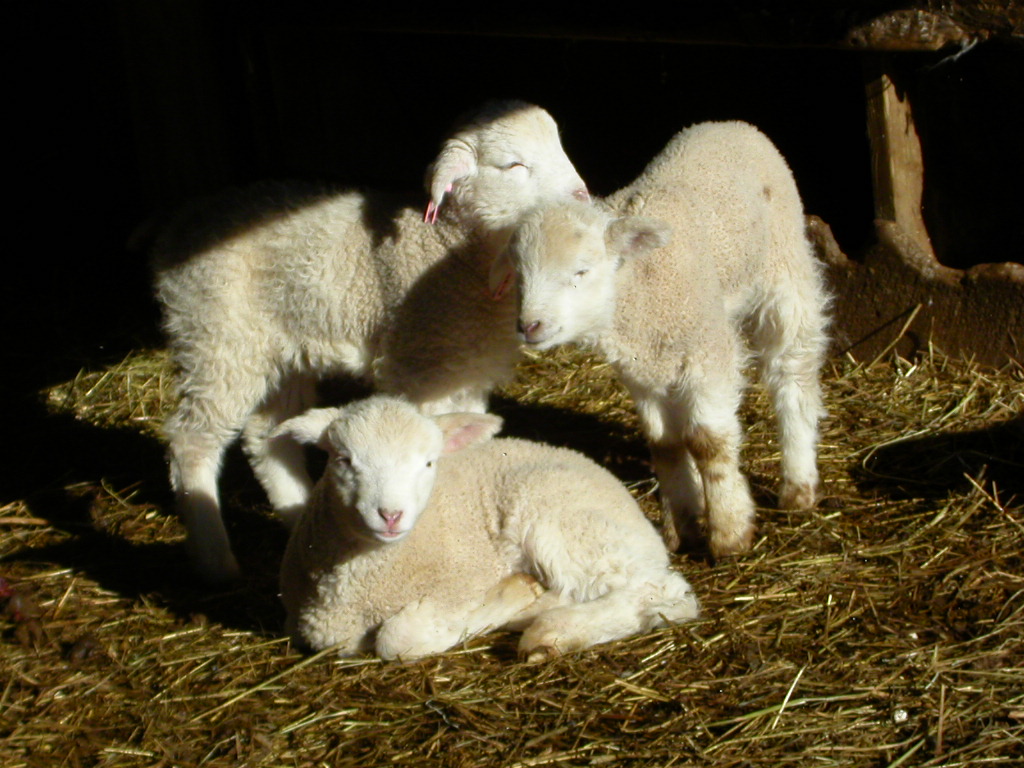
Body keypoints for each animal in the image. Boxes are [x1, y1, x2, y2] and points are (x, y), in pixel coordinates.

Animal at [150, 100, 585, 581]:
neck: (450, 250)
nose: (582, 198)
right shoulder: (423, 366)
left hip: (282, 345)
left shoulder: (466, 372)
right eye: (513, 165)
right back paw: (214, 557)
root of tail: (180, 223)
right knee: (192, 439)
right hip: (217, 337)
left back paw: (297, 514)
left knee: (266, 434)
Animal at [276, 397, 700, 663]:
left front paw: (512, 594)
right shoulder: (319, 628)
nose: (390, 515)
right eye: (343, 460)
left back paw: (552, 632)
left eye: (428, 463)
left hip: (563, 523)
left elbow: (398, 639)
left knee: (661, 593)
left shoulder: (459, 584)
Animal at [503, 123, 831, 561]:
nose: (529, 325)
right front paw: (686, 525)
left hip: (784, 267)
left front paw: (729, 533)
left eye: (581, 272)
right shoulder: (643, 372)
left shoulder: (708, 351)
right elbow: (667, 444)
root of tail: (730, 124)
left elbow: (708, 443)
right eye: (520, 274)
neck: (639, 287)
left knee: (791, 370)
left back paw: (798, 484)